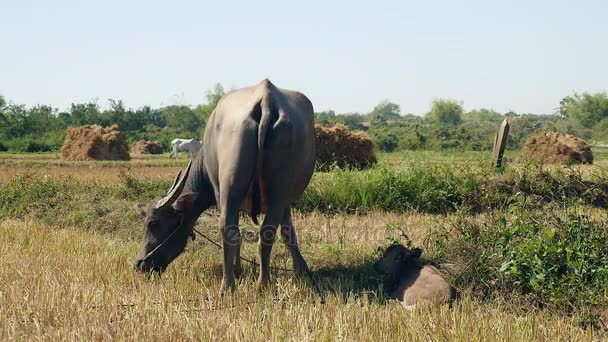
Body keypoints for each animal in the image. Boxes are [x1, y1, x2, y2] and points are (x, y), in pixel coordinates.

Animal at [132, 79, 314, 292]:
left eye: (153, 223)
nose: (139, 264)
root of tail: (266, 99)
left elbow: (283, 232)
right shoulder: (285, 201)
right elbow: (287, 231)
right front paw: (300, 269)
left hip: (232, 189)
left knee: (232, 229)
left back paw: (230, 286)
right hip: (272, 191)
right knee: (257, 231)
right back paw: (259, 284)